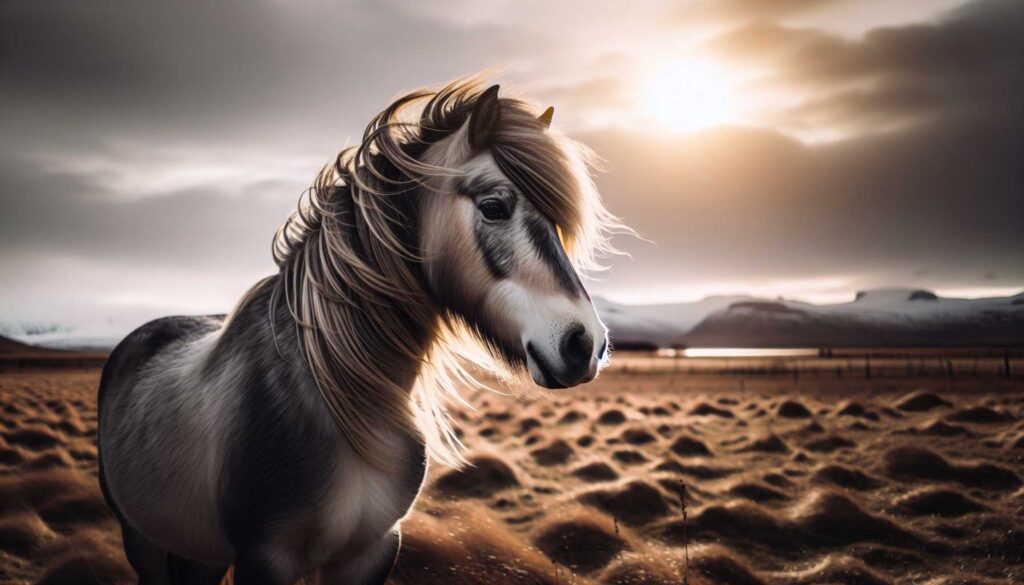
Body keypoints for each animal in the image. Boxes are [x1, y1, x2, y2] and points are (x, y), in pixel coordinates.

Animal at [97, 78, 622, 584]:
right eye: (494, 206)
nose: (586, 344)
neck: (336, 402)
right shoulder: (264, 558)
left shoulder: (372, 550)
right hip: (141, 540)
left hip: (199, 553)